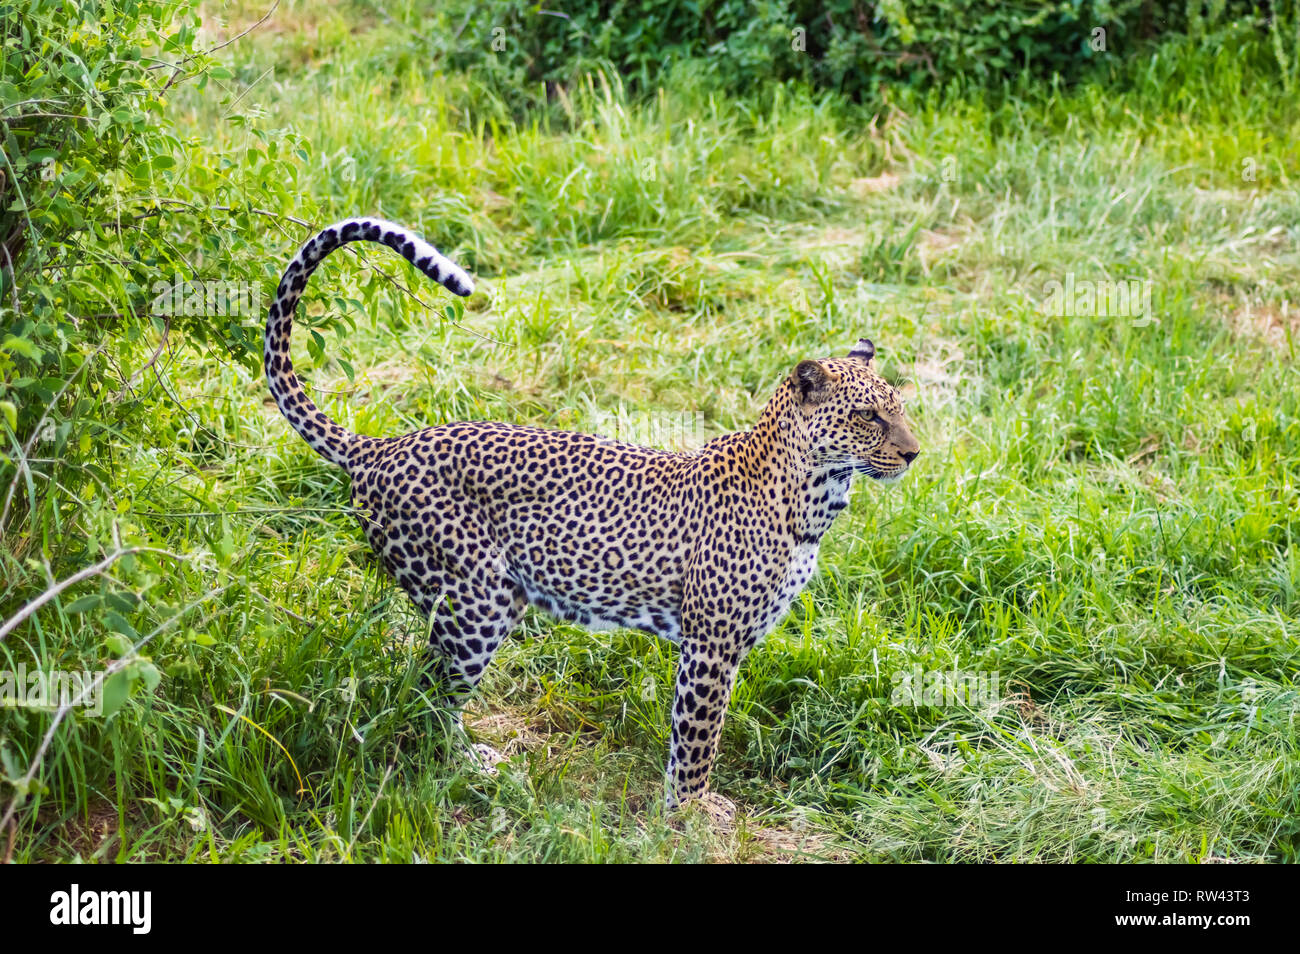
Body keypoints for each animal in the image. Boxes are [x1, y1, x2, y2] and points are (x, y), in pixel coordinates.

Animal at [264, 217, 920, 818]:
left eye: (900, 408)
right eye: (868, 415)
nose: (915, 453)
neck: (817, 497)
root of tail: (379, 446)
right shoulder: (711, 644)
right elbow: (697, 738)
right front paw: (691, 815)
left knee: (430, 691)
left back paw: (471, 761)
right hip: (476, 601)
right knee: (424, 692)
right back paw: (457, 769)